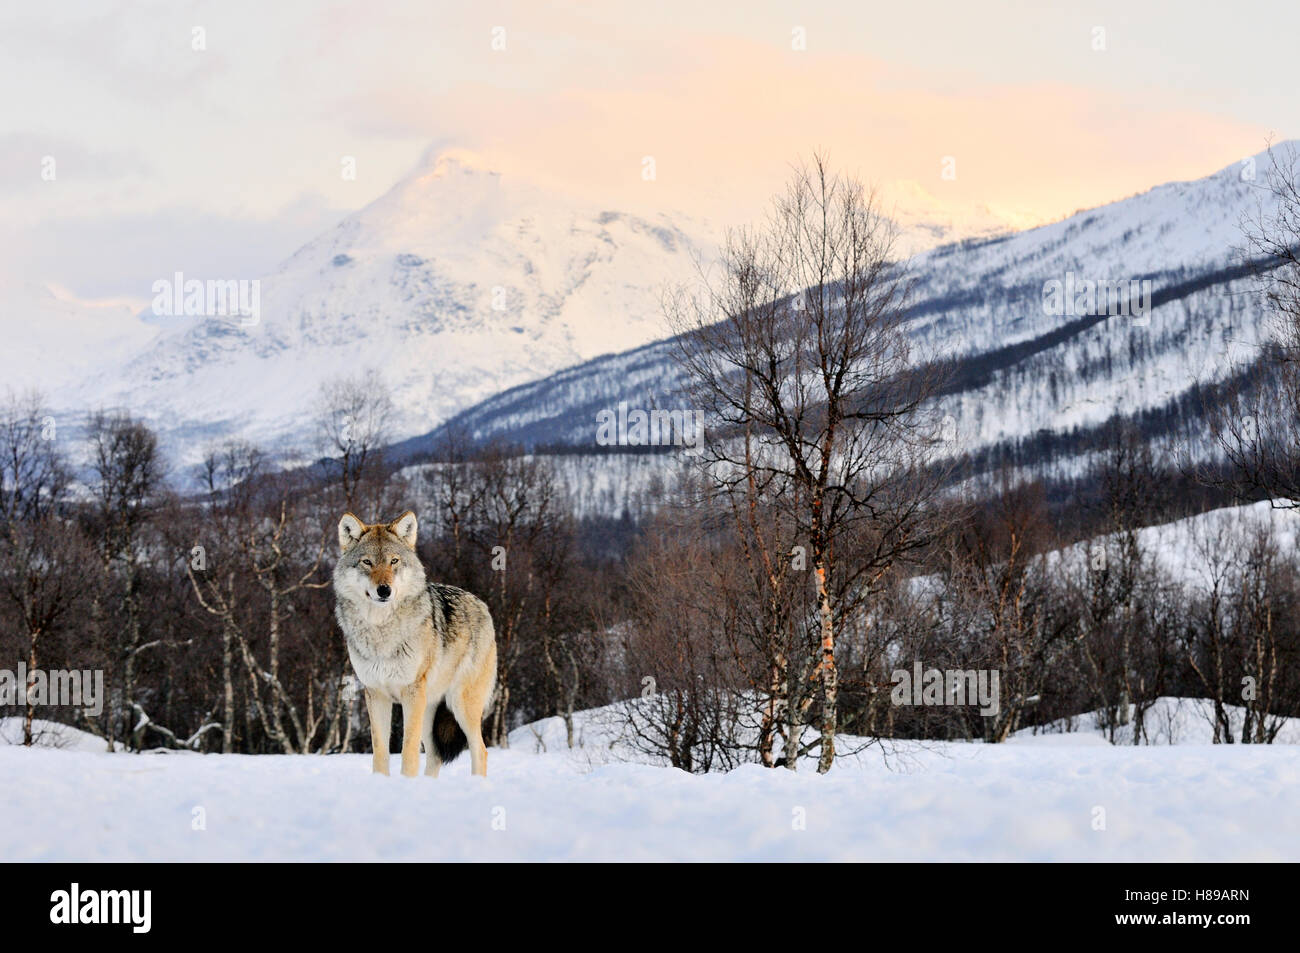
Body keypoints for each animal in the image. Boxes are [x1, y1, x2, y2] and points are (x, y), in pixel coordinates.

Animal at [333, 511, 497, 777]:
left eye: (394, 561)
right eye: (367, 562)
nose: (384, 590)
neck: (381, 632)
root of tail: (481, 604)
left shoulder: (411, 692)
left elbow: (408, 751)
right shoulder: (376, 693)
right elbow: (380, 752)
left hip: (460, 704)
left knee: (480, 750)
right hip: (430, 708)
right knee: (435, 756)